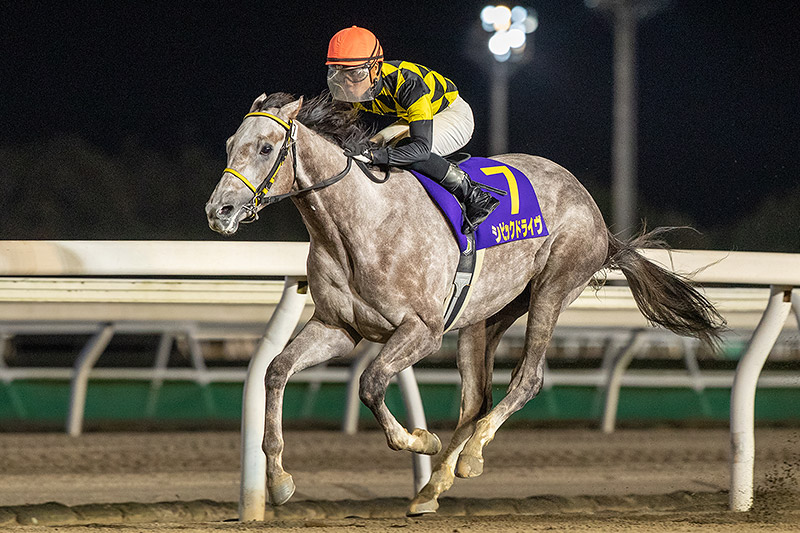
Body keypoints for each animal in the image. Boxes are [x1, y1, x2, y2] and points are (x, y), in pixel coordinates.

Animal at [206, 92, 724, 516]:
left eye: (266, 147)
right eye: (230, 143)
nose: (219, 211)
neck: (359, 223)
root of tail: (594, 211)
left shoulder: (423, 329)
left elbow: (372, 383)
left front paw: (418, 438)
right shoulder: (338, 327)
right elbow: (276, 370)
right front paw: (279, 480)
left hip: (553, 288)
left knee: (527, 380)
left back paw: (471, 457)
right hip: (486, 316)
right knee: (476, 397)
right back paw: (433, 488)